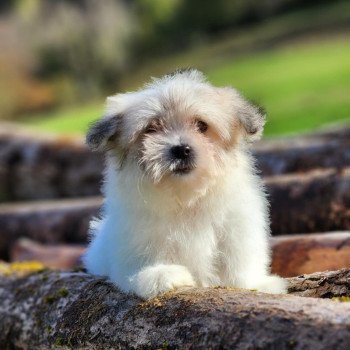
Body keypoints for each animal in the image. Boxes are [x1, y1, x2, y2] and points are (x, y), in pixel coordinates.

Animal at [82, 69, 288, 300]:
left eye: (202, 126)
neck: (185, 197)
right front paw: (160, 275)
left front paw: (254, 284)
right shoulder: (136, 233)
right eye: (151, 128)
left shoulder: (236, 226)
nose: (181, 149)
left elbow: (239, 260)